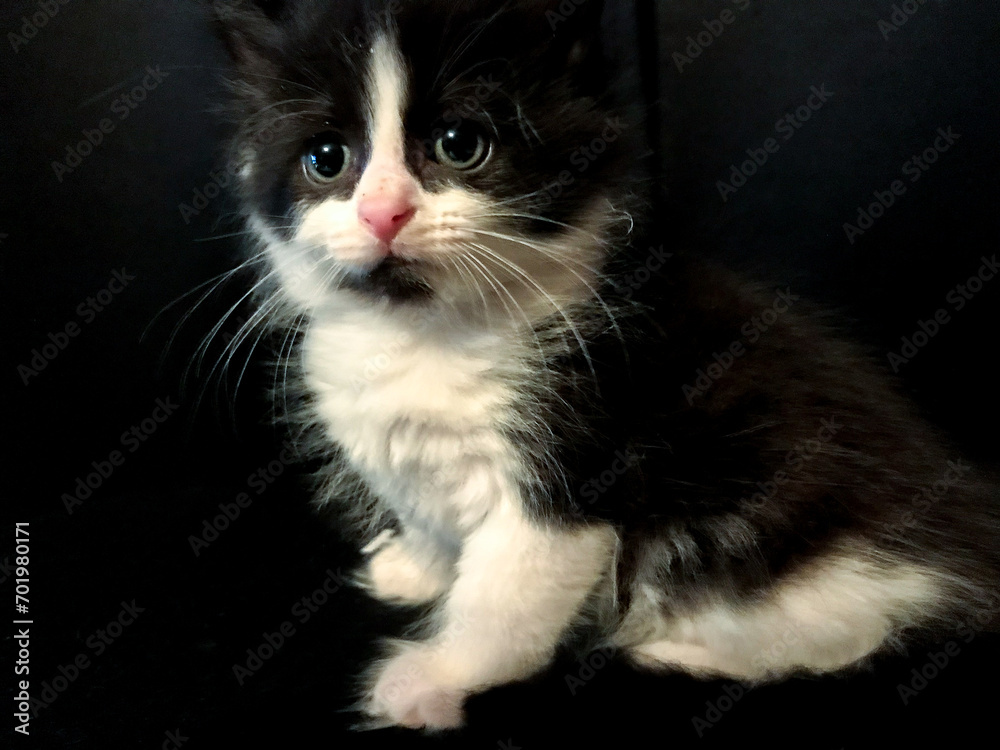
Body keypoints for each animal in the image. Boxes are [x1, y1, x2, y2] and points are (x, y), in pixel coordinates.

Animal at [207, 0, 996, 732]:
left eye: (460, 145)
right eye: (326, 159)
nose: (383, 213)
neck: (428, 332)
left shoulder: (572, 457)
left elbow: (502, 600)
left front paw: (434, 680)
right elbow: (425, 512)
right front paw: (418, 566)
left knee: (847, 638)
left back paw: (674, 652)